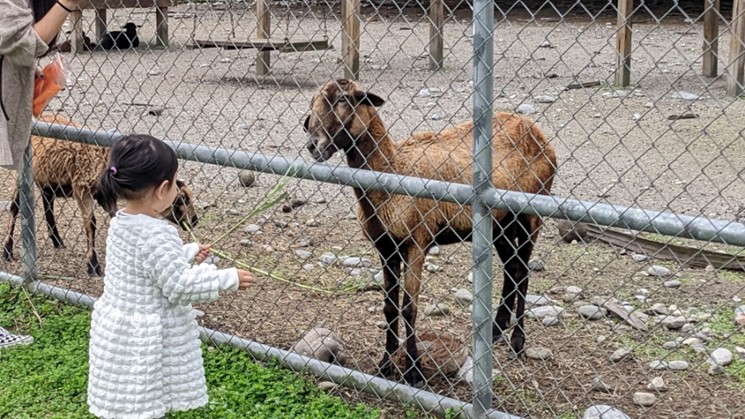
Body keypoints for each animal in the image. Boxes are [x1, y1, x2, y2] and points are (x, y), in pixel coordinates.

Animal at [2, 115, 199, 278]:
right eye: (182, 199)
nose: (195, 220)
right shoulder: (82, 188)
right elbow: (91, 223)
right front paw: (93, 265)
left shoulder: (103, 196)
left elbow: (114, 218)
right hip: (22, 173)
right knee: (14, 207)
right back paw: (7, 250)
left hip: (48, 176)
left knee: (47, 201)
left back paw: (56, 239)